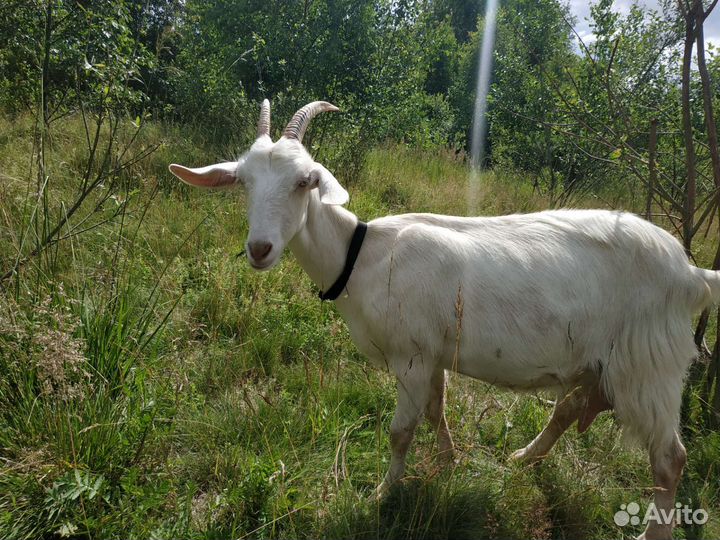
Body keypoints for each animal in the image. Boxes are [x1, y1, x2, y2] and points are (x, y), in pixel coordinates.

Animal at [169, 100, 720, 540]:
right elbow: (437, 412)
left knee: (670, 460)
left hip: (649, 366)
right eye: (243, 182)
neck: (360, 256)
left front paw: (382, 494)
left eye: (305, 181)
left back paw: (650, 532)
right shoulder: (432, 354)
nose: (260, 249)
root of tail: (691, 273)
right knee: (569, 410)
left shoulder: (410, 356)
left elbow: (400, 430)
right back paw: (523, 458)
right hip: (610, 365)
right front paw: (448, 462)